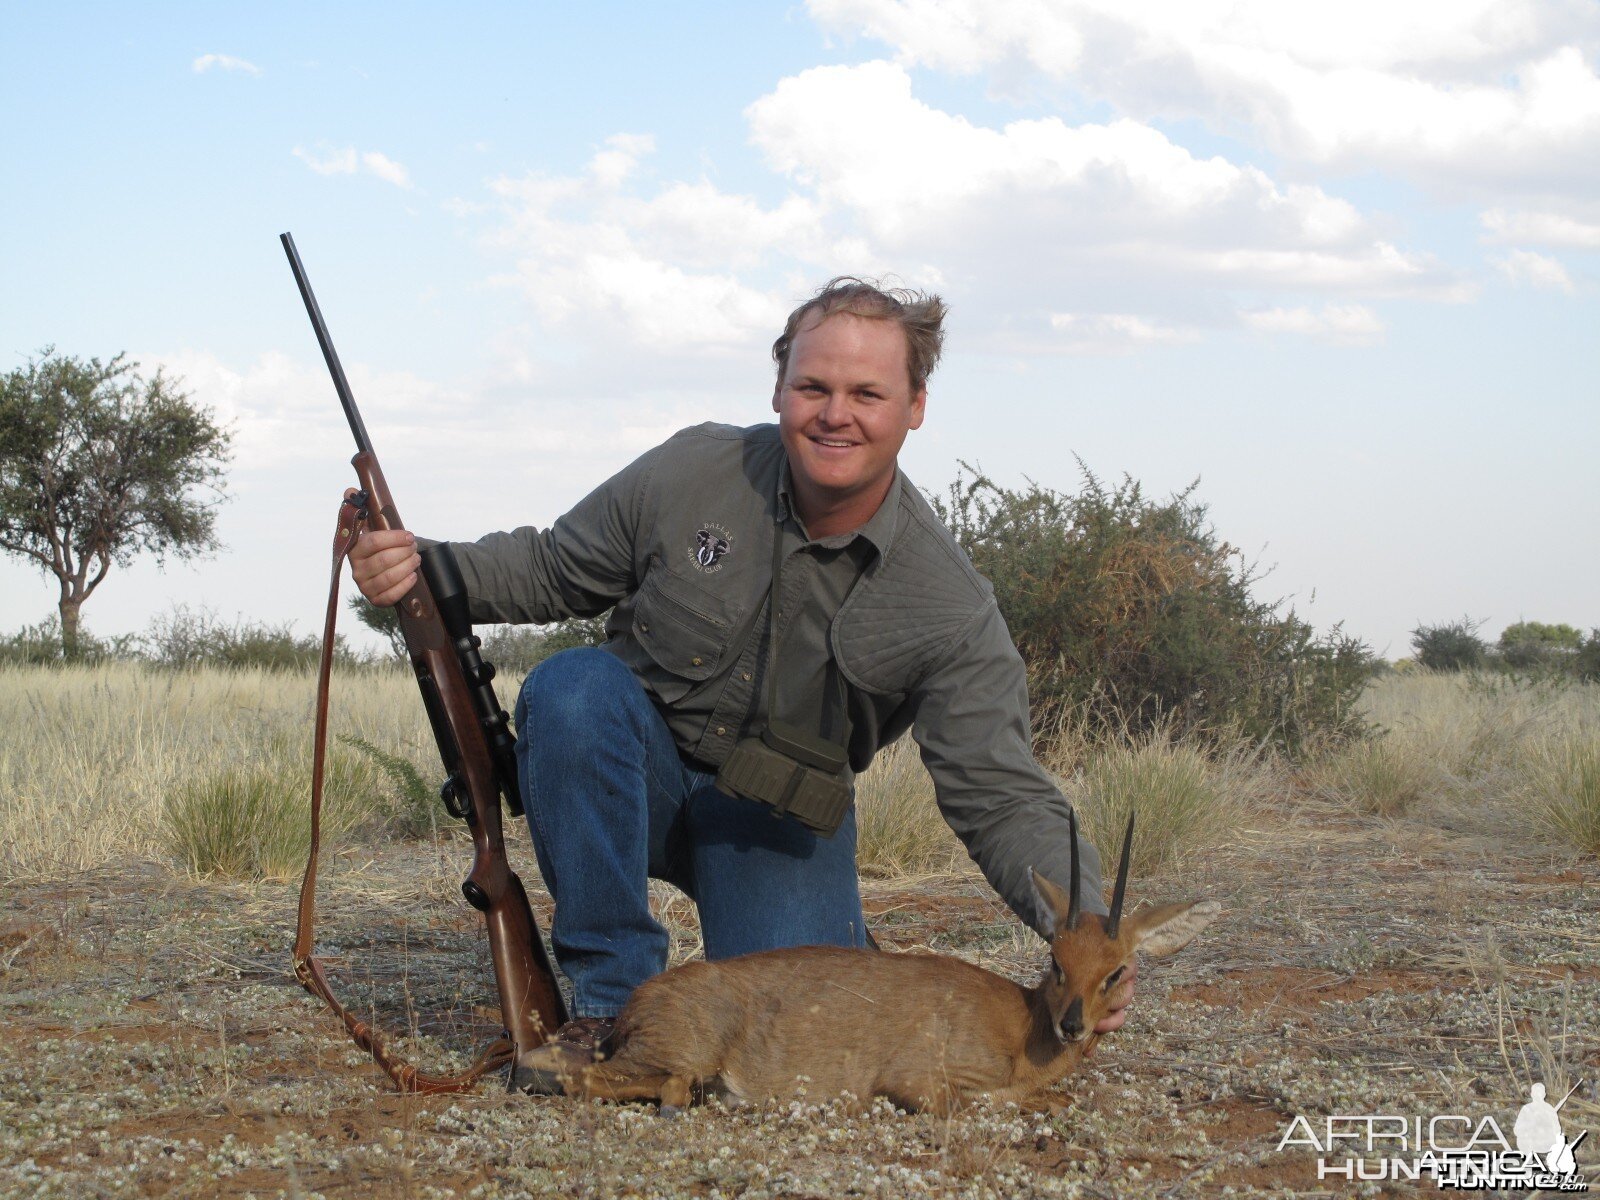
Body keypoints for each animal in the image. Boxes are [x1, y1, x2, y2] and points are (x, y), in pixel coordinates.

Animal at [569, 819, 1216, 1120]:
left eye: (1116, 972)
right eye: (1056, 959)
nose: (1074, 1026)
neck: (1022, 1030)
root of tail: (635, 1006)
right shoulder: (922, 1081)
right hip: (676, 1054)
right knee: (570, 1073)